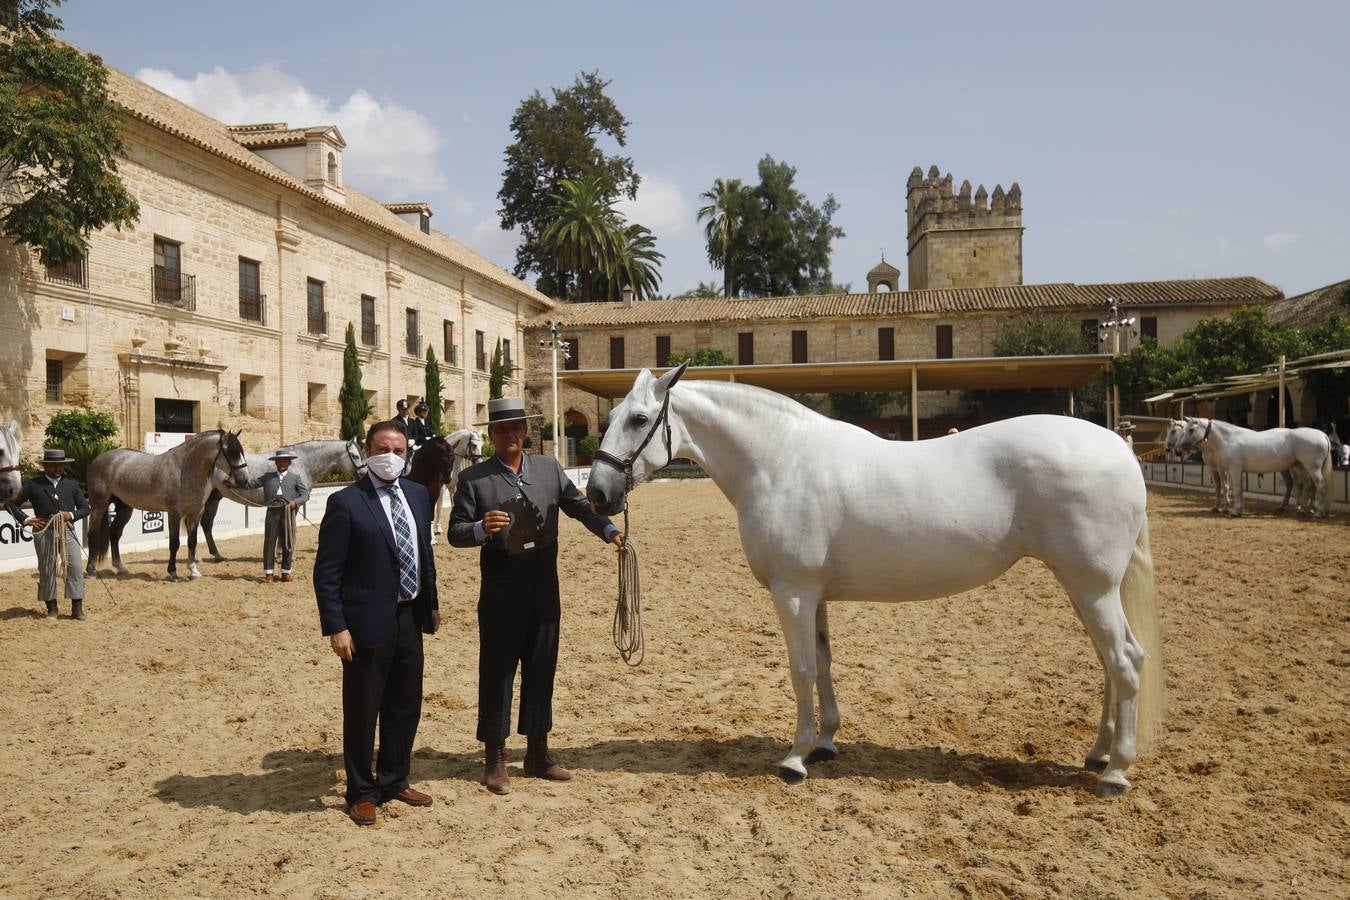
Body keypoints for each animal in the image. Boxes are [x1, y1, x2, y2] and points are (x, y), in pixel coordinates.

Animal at [85, 431, 249, 585]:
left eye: (241, 450)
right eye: (231, 452)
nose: (245, 480)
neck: (184, 469)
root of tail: (99, 459)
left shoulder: (195, 513)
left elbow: (192, 541)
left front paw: (193, 570)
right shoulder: (174, 513)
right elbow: (174, 543)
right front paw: (173, 572)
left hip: (125, 507)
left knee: (115, 533)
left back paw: (120, 567)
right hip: (99, 505)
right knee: (92, 533)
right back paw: (91, 570)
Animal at [585, 361, 1166, 798]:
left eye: (639, 419)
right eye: (610, 414)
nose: (596, 494)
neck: (778, 460)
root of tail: (1118, 447)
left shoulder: (793, 592)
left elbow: (800, 669)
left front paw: (795, 758)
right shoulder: (815, 594)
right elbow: (823, 664)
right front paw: (825, 744)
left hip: (1092, 587)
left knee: (1125, 661)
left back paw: (1116, 772)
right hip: (1085, 588)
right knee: (1110, 665)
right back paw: (1098, 755)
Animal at [1171, 418, 1328, 518]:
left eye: (1191, 430)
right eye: (1183, 430)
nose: (1179, 449)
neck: (1228, 439)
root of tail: (1322, 434)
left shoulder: (1233, 469)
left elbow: (1236, 489)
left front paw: (1235, 512)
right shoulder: (1231, 470)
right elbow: (1234, 489)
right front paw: (1235, 509)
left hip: (1311, 468)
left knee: (1319, 485)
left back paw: (1318, 513)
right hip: (1302, 467)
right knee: (1308, 486)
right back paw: (1305, 509)